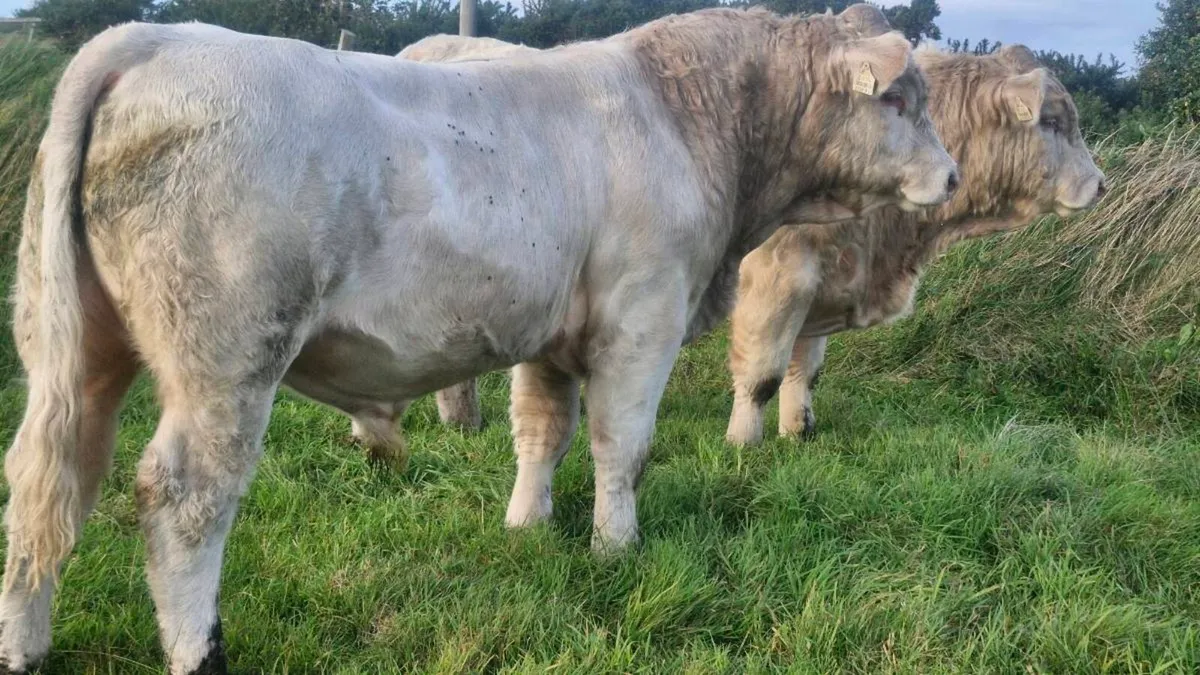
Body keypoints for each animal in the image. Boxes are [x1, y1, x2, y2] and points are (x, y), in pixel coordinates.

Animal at [0, 6, 958, 673]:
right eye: (902, 98)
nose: (951, 176)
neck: (691, 119)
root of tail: (147, 39)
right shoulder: (642, 317)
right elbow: (621, 445)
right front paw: (618, 546)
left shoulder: (553, 333)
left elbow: (542, 430)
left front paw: (528, 529)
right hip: (227, 359)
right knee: (184, 498)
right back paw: (199, 649)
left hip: (77, 352)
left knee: (50, 478)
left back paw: (26, 645)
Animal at [723, 43, 1108, 447]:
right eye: (1051, 121)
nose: (1101, 184)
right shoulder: (780, 276)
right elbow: (763, 376)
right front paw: (743, 444)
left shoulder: (821, 287)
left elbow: (804, 371)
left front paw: (797, 433)